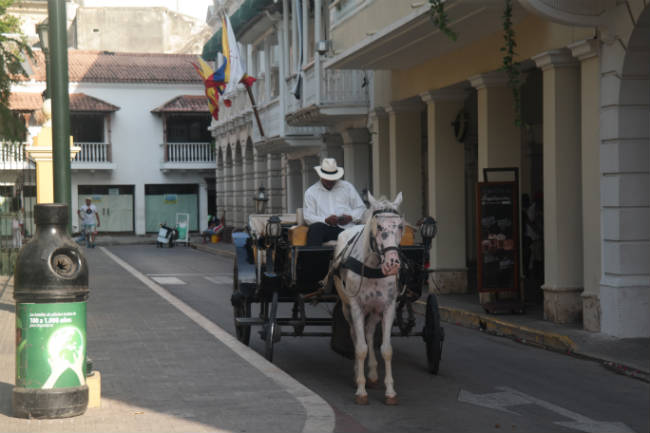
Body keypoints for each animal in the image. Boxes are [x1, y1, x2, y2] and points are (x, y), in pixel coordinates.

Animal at [332, 191, 402, 404]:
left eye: (400, 226)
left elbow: (386, 349)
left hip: (374, 309)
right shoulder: (356, 307)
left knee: (369, 333)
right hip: (348, 308)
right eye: (379, 226)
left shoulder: (388, 307)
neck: (371, 266)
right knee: (356, 335)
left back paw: (371, 373)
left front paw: (390, 391)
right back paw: (359, 374)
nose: (392, 263)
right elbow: (360, 347)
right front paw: (361, 390)